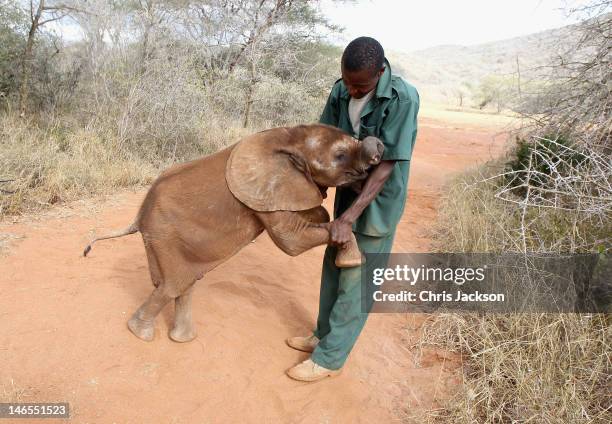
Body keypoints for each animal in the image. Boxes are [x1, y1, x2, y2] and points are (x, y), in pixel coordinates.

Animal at [83, 122, 382, 342]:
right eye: (339, 156)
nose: (379, 145)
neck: (292, 136)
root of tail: (138, 216)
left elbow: (305, 218)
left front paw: (325, 216)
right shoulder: (265, 191)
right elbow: (289, 241)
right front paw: (352, 258)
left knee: (185, 283)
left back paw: (183, 339)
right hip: (162, 234)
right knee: (172, 285)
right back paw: (140, 334)